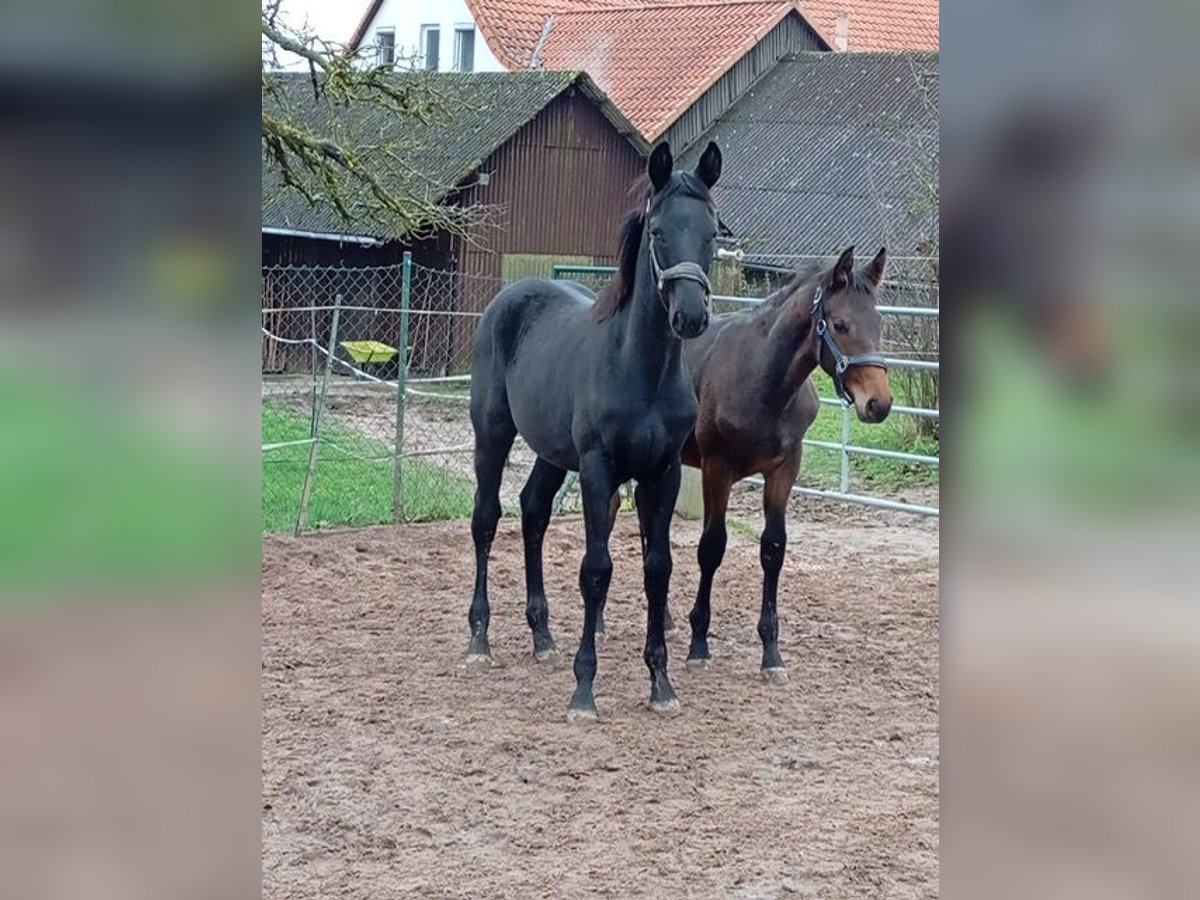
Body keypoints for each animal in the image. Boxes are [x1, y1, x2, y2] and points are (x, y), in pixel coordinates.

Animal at [463, 142, 715, 720]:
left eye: (713, 231)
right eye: (658, 231)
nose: (691, 317)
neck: (641, 369)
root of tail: (509, 297)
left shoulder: (662, 474)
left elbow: (658, 569)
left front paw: (661, 684)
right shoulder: (600, 468)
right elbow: (596, 570)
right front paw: (584, 690)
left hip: (553, 454)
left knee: (533, 511)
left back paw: (542, 637)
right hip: (492, 434)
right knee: (486, 518)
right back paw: (479, 639)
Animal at [676, 247, 892, 681]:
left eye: (879, 322)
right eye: (840, 324)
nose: (879, 404)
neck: (763, 379)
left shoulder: (784, 469)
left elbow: (773, 549)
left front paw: (771, 654)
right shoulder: (716, 469)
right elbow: (711, 547)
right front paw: (698, 643)